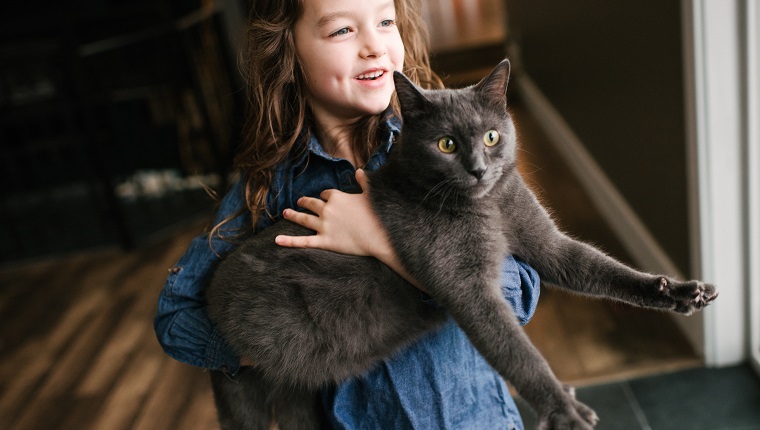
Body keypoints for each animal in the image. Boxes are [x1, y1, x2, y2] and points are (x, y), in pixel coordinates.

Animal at [205, 58, 716, 428]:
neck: (489, 210)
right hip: (246, 391)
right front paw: (563, 410)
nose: (478, 169)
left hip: (298, 402)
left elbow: (602, 270)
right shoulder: (466, 288)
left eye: (491, 137)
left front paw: (677, 291)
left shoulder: (546, 243)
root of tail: (210, 296)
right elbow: (516, 351)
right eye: (446, 144)